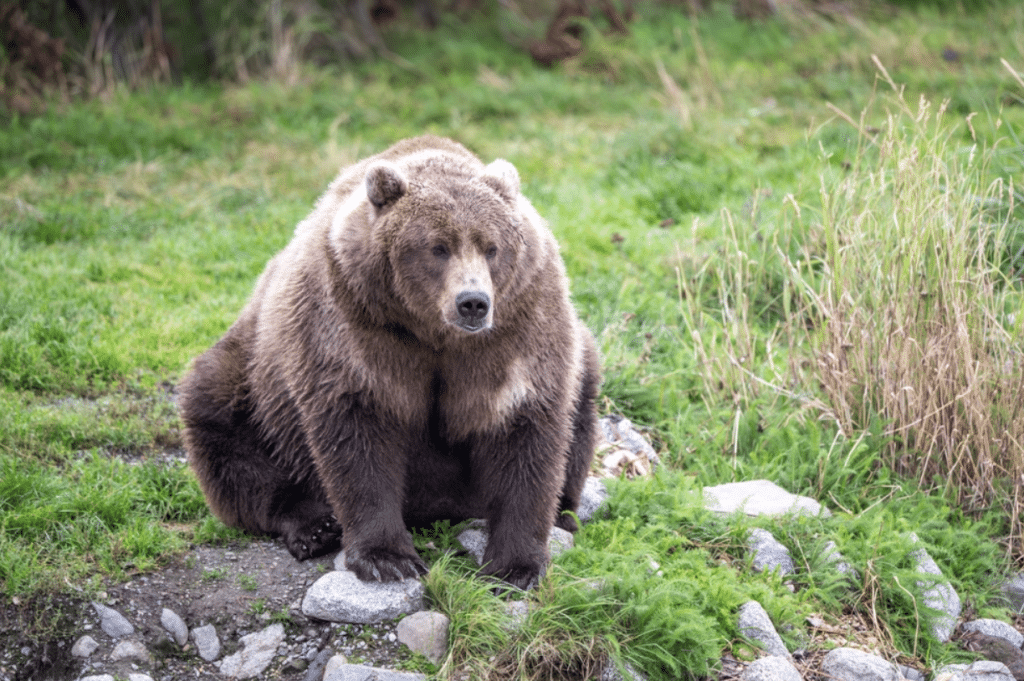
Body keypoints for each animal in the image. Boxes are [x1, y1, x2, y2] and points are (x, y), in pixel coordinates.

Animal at [177, 135, 601, 590]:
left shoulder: (517, 328)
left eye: (492, 247)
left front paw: (515, 566)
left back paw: (564, 513)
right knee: (222, 417)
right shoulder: (353, 320)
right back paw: (313, 526)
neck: (432, 332)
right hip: (256, 369)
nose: (473, 302)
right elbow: (358, 436)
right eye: (438, 247)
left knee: (584, 403)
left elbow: (525, 430)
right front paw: (388, 559)